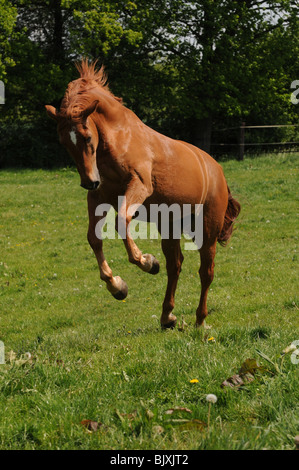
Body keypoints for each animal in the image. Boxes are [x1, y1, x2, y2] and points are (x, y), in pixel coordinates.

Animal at [45, 59, 240, 326]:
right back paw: (167, 316)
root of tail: (217, 171)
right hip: (170, 225)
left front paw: (146, 262)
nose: (88, 181)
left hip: (207, 230)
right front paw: (117, 286)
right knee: (175, 266)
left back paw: (200, 320)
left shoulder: (138, 187)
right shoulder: (98, 197)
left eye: (86, 137)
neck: (120, 138)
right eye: (64, 142)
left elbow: (121, 221)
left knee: (206, 272)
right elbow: (94, 238)